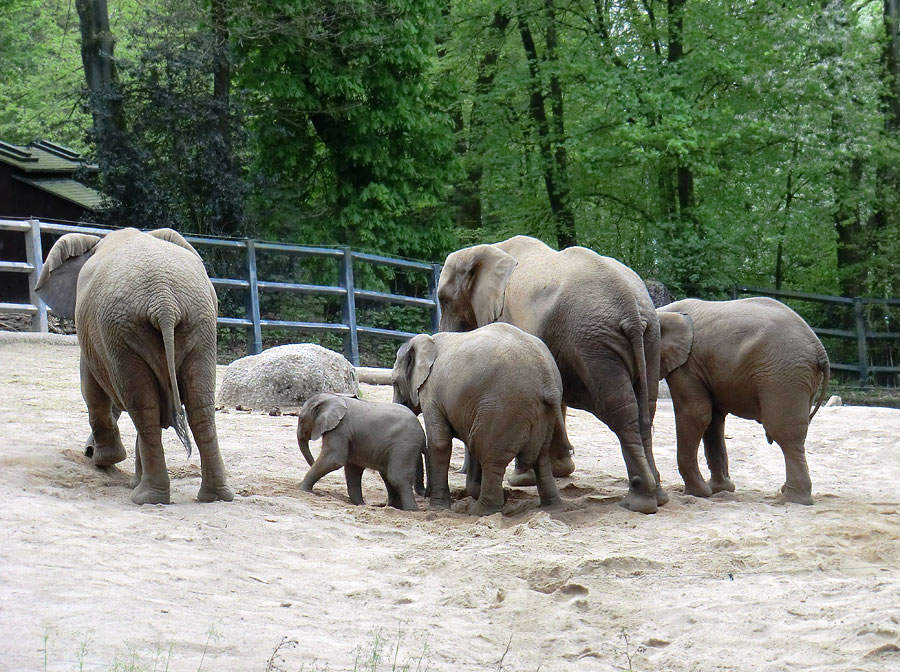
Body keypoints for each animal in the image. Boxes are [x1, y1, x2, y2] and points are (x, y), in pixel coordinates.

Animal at [34, 226, 234, 504]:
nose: (87, 451)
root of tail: (164, 301)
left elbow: (90, 386)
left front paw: (106, 460)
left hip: (122, 330)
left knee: (144, 408)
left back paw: (146, 498)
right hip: (198, 324)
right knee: (197, 407)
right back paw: (213, 497)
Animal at [298, 392, 428, 512]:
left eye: (300, 419)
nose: (312, 462)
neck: (333, 397)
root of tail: (422, 432)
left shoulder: (339, 429)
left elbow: (334, 459)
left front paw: (301, 488)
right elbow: (352, 468)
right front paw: (360, 504)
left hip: (405, 445)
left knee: (396, 477)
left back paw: (410, 510)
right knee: (387, 475)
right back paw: (392, 507)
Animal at [390, 322, 560, 516]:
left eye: (394, 383)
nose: (424, 493)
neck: (426, 341)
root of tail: (546, 378)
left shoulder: (431, 392)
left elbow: (440, 443)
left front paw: (439, 508)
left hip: (504, 410)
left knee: (490, 456)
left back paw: (482, 510)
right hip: (539, 415)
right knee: (541, 457)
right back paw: (552, 506)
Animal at [440, 234, 664, 512]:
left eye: (443, 300)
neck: (488, 250)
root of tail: (632, 309)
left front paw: (521, 479)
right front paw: (558, 471)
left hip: (594, 343)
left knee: (622, 411)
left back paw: (640, 501)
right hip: (648, 339)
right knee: (646, 407)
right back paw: (658, 495)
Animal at [652, 298, 828, 504]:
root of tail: (819, 349)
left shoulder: (687, 365)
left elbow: (695, 414)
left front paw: (698, 493)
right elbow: (713, 420)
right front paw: (720, 490)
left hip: (784, 374)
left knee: (785, 434)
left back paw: (791, 500)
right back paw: (785, 493)